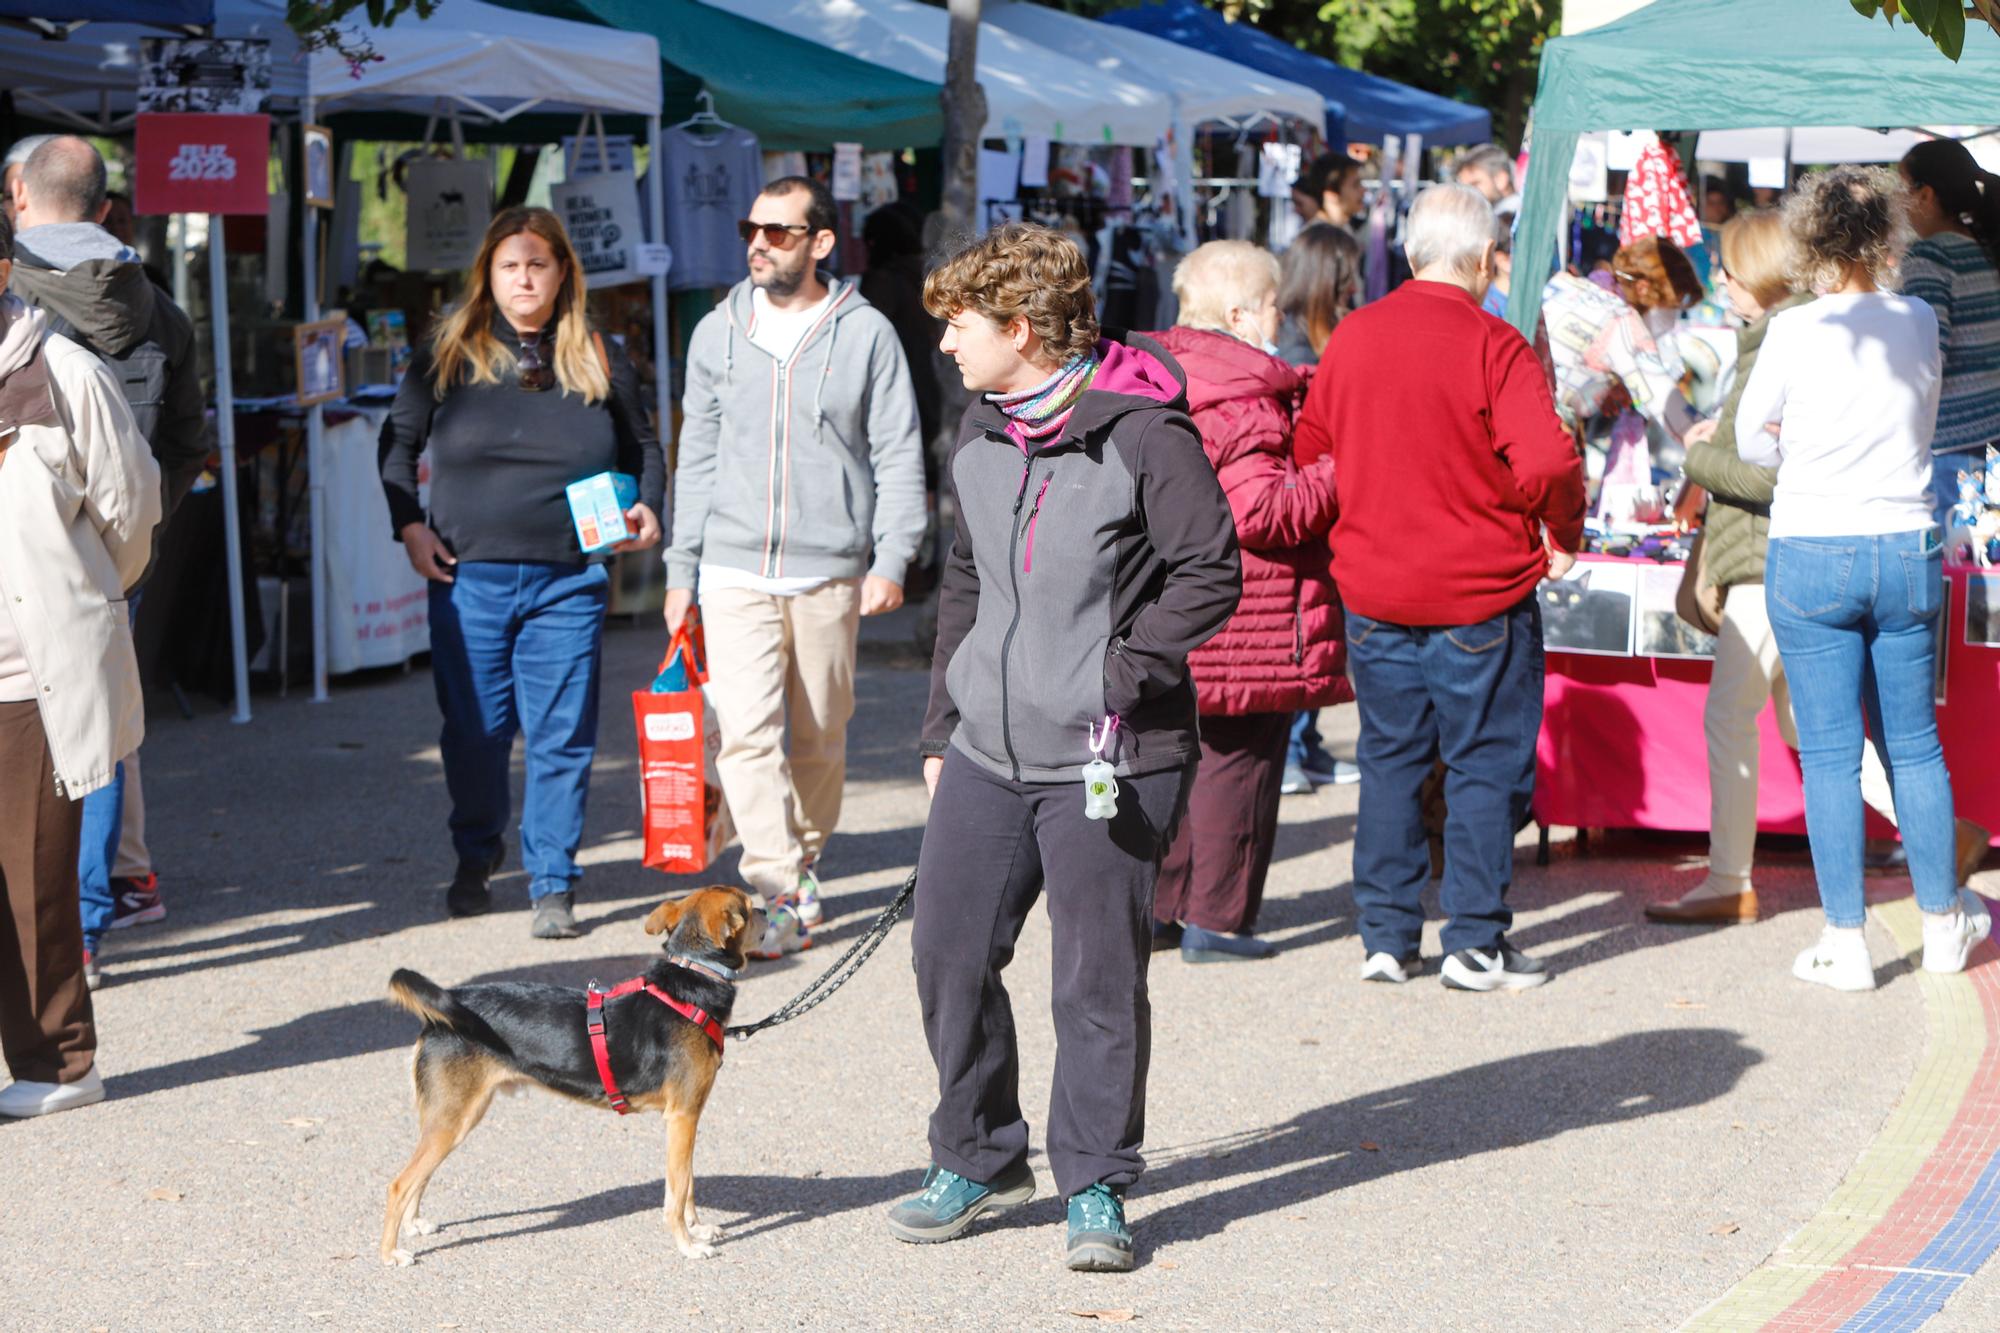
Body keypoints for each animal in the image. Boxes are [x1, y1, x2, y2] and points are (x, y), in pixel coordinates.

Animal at [378, 888, 752, 1264]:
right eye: (752, 909)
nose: (765, 909)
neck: (694, 977)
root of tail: (439, 1015)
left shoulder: (686, 1120)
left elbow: (687, 1186)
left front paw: (698, 1228)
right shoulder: (682, 1118)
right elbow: (677, 1193)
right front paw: (688, 1245)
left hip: (448, 1120)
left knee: (419, 1177)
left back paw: (413, 1224)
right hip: (452, 1121)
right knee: (399, 1184)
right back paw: (390, 1253)